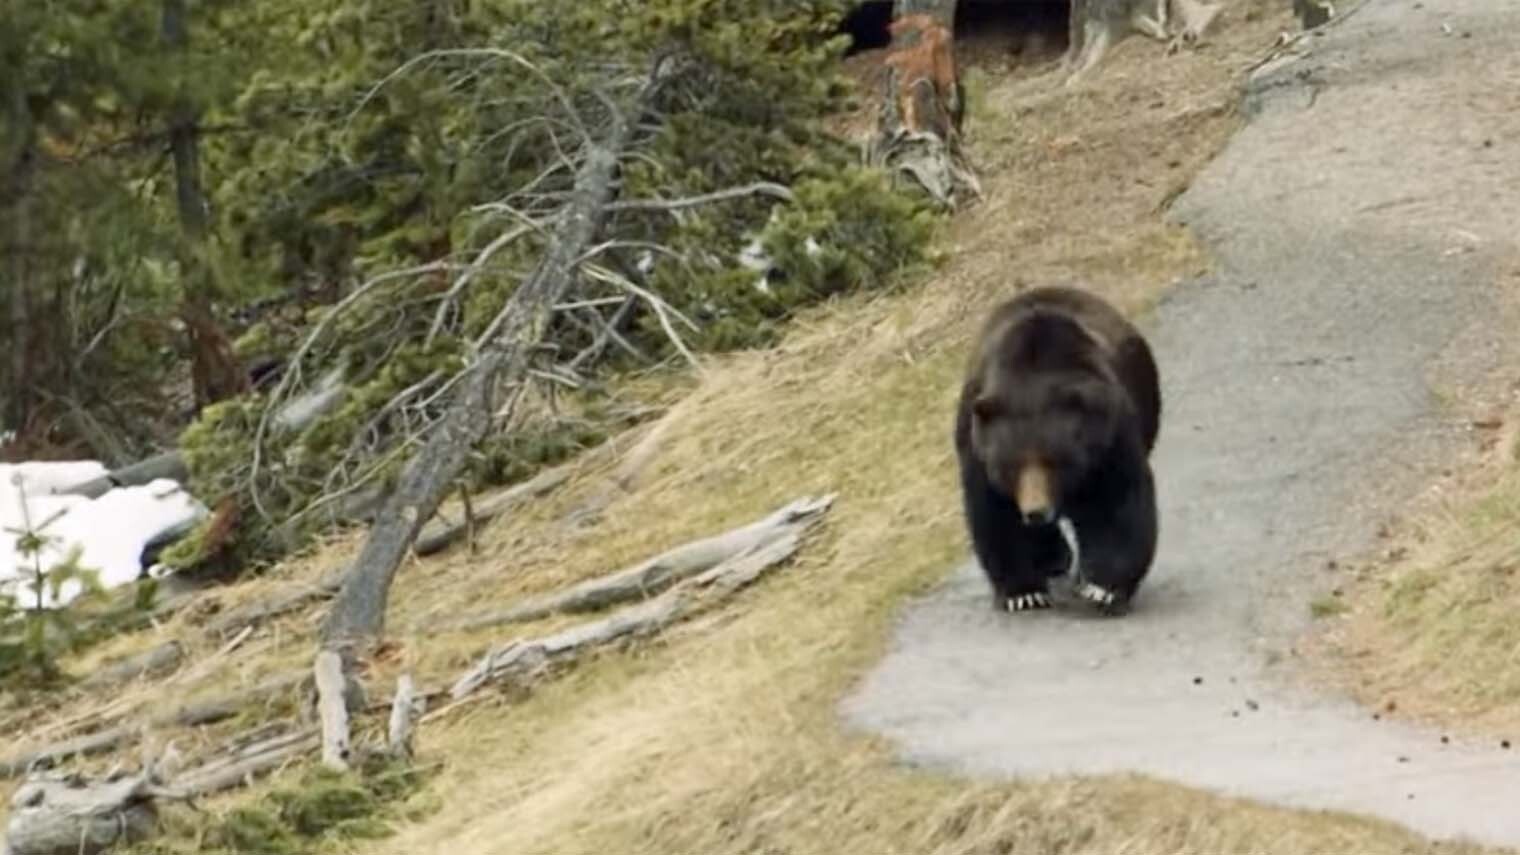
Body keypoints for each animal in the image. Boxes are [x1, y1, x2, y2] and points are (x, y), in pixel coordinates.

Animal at [953, 285, 1161, 615]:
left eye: (1057, 461)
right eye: (1009, 466)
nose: (1035, 511)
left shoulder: (1109, 438)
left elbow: (1118, 503)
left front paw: (1102, 589)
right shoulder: (977, 445)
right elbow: (996, 515)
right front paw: (1023, 594)